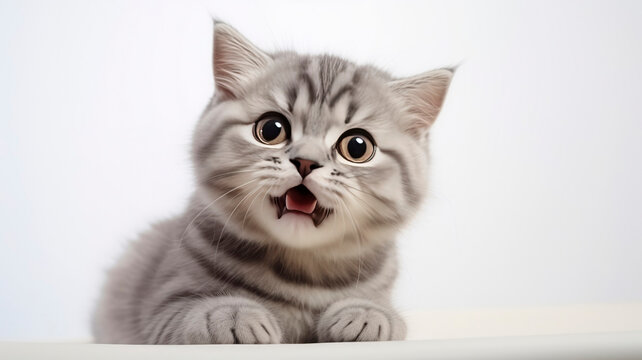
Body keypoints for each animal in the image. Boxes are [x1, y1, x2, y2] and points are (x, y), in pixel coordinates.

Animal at [91, 21, 450, 344]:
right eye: (271, 129)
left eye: (357, 147)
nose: (306, 161)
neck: (301, 278)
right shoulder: (161, 306)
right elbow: (191, 312)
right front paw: (232, 314)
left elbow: (388, 316)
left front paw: (366, 314)